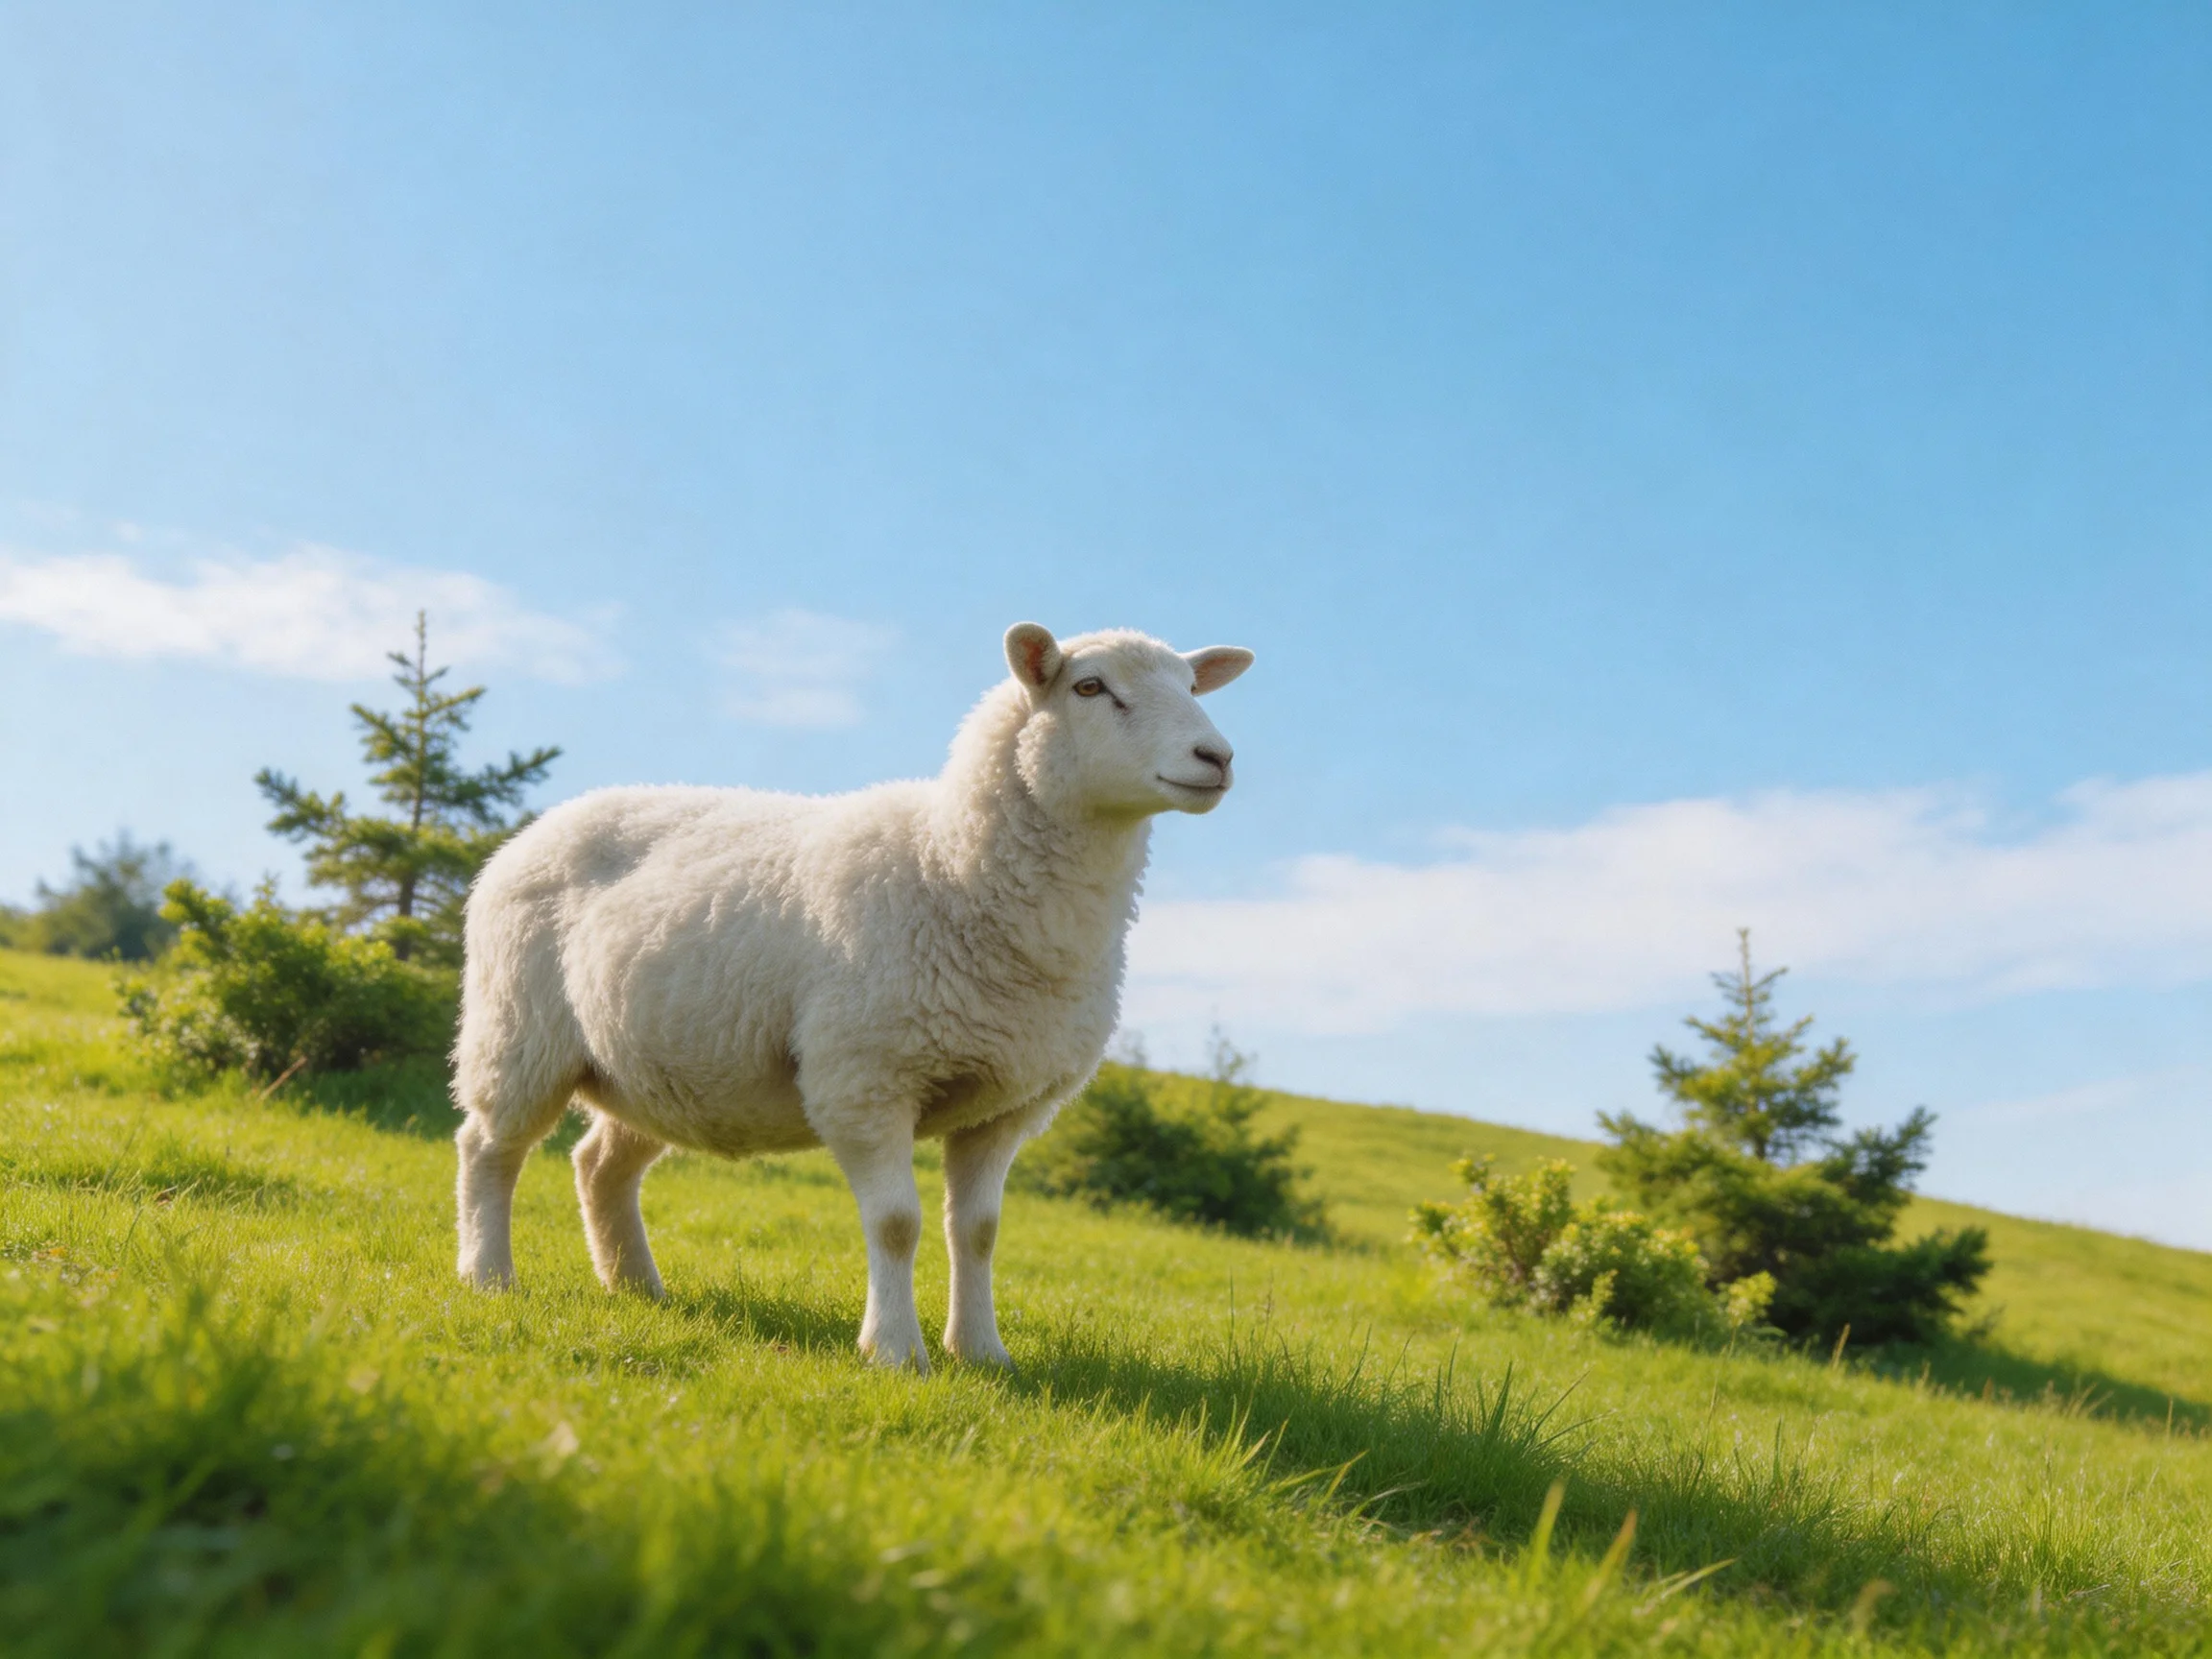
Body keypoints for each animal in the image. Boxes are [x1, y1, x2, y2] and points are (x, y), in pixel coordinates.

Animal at [451, 622, 1253, 1371]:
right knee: (488, 1147)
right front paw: (895, 1351)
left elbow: (979, 1233)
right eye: (1090, 687)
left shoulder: (1005, 1106)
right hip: (518, 1030)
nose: (1217, 758)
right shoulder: (865, 1079)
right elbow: (897, 1223)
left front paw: (982, 1352)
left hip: (658, 1066)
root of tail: (540, 828)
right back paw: (488, 1275)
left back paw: (637, 1287)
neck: (952, 861)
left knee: (599, 1165)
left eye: (1191, 686)